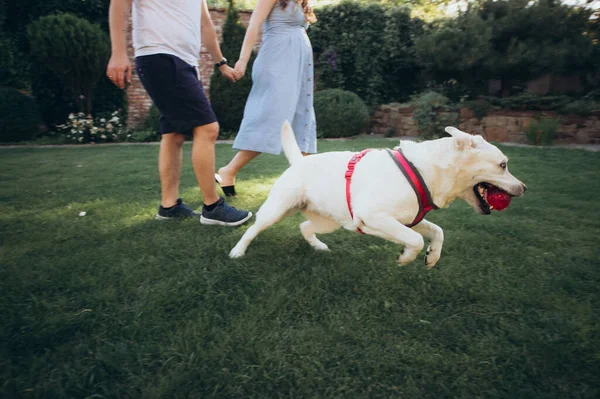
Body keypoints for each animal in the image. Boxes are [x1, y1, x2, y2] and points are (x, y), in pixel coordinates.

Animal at [230, 121, 524, 266]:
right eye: (503, 165)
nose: (524, 188)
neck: (424, 171)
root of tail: (299, 161)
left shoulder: (409, 219)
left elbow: (436, 232)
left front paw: (432, 257)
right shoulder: (375, 217)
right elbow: (416, 239)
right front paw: (406, 257)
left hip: (329, 221)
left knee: (305, 227)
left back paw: (319, 246)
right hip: (277, 210)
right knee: (252, 229)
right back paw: (237, 252)